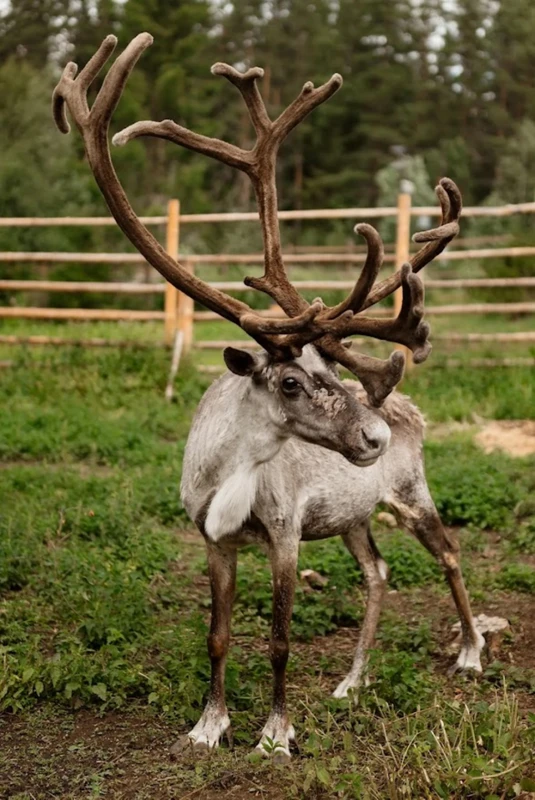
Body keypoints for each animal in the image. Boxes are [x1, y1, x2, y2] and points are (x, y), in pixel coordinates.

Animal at [53, 33, 486, 763]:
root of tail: (411, 410)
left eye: (329, 368)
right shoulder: (211, 536)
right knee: (377, 573)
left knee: (449, 555)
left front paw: (276, 733)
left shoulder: (284, 534)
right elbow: (218, 634)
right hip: (353, 515)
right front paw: (208, 724)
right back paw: (352, 681)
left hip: (411, 492)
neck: (230, 471)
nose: (372, 437)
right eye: (289, 380)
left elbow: (280, 639)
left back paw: (471, 653)